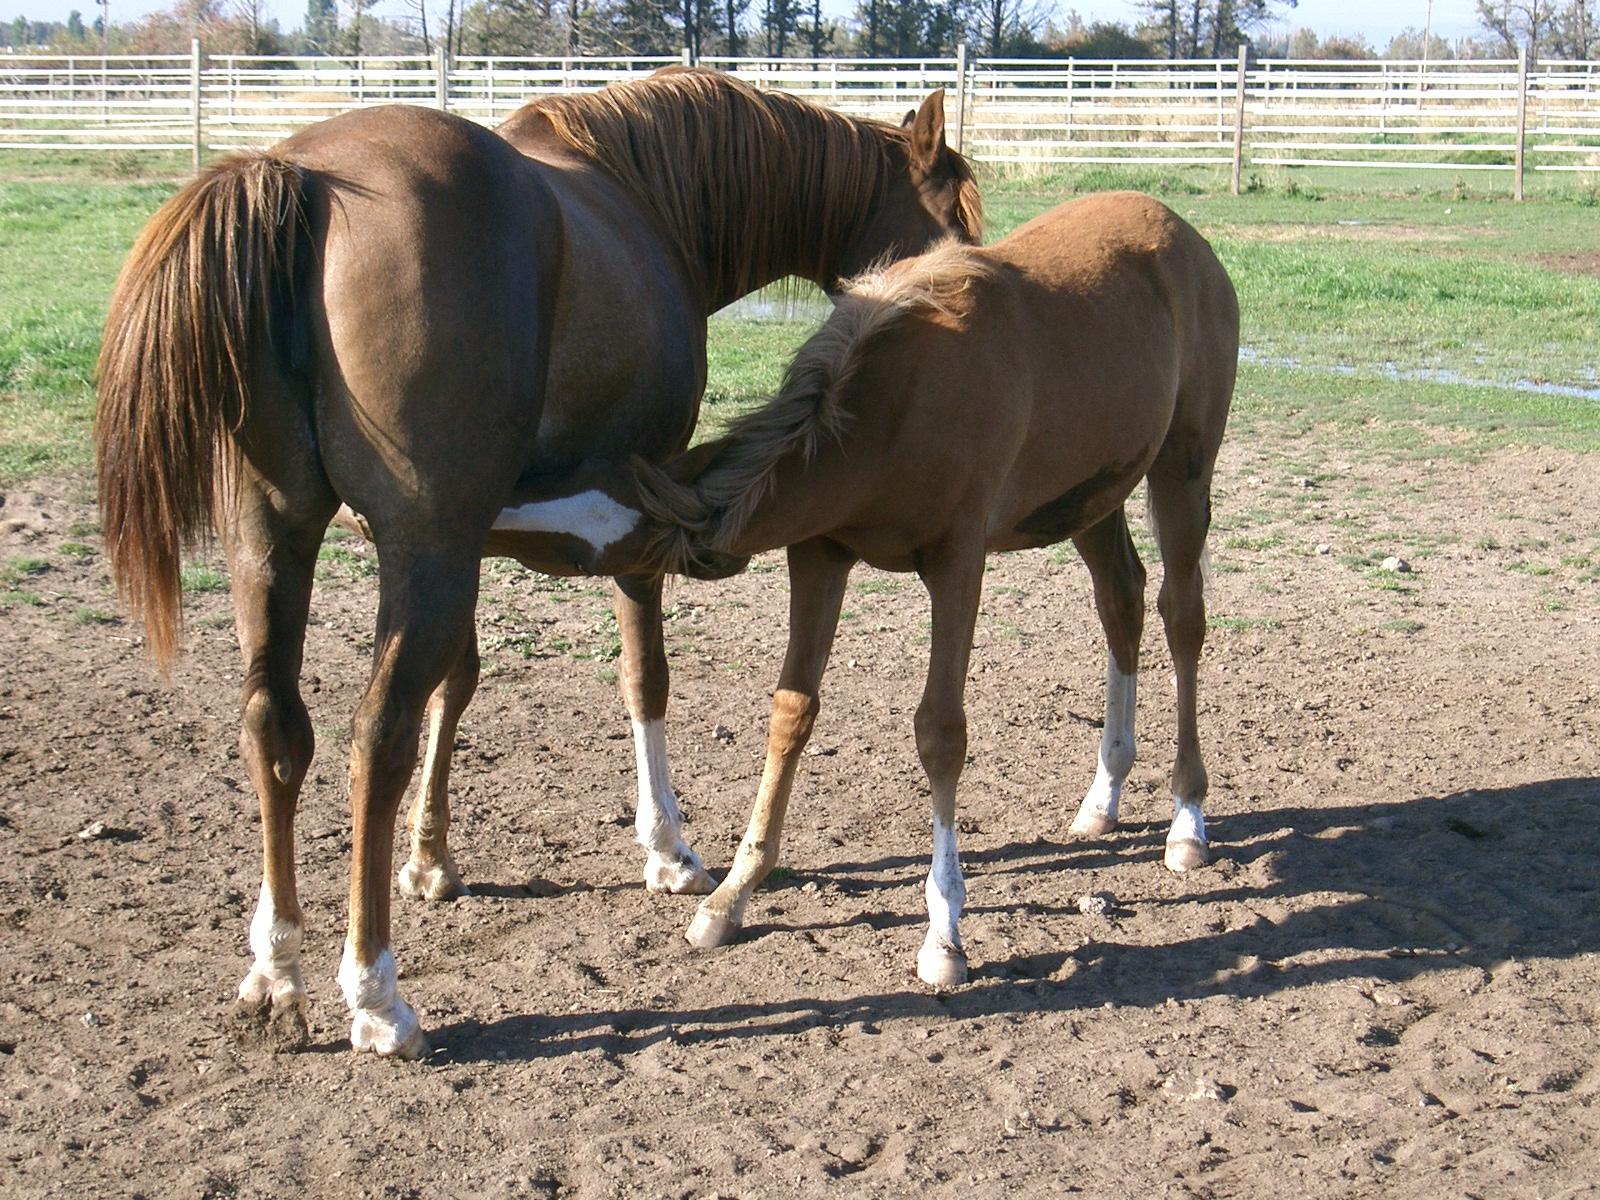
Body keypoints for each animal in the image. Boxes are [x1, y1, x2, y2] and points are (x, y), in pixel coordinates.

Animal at [94, 68, 982, 1058]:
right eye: (954, 211)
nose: (976, 286)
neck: (648, 197)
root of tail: (305, 179)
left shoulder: (480, 534)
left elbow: (459, 682)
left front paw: (430, 860)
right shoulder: (621, 507)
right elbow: (644, 678)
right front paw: (666, 849)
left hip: (276, 537)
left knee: (274, 726)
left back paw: (277, 969)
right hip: (414, 548)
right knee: (375, 737)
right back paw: (374, 995)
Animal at [558, 190, 1239, 985]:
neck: (894, 403)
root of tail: (1185, 235)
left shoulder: (957, 562)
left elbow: (940, 733)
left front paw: (943, 933)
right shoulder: (819, 554)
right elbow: (791, 713)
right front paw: (732, 895)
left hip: (1182, 468)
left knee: (1181, 617)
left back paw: (1187, 820)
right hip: (1092, 496)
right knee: (1121, 602)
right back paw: (1103, 798)